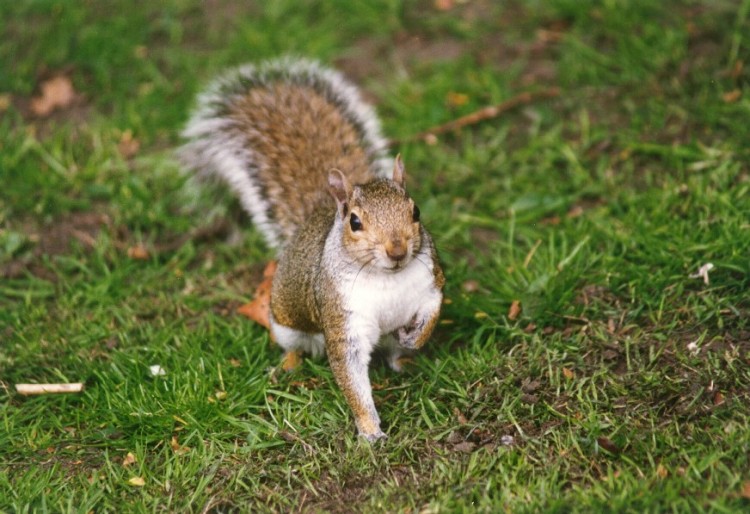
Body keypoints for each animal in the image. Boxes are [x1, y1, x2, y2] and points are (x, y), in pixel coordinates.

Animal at [178, 57, 444, 440]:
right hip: (285, 321)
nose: (397, 251)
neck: (385, 278)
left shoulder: (430, 283)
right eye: (355, 222)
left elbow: (432, 311)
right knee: (293, 346)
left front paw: (416, 338)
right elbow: (351, 375)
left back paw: (404, 360)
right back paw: (289, 364)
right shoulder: (342, 320)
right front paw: (369, 430)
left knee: (391, 352)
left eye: (416, 212)